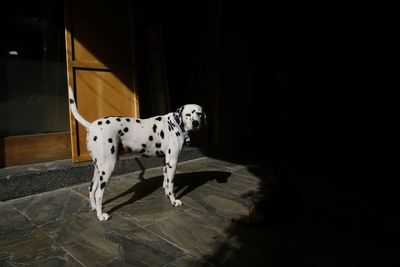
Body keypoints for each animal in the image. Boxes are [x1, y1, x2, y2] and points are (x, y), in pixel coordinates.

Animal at [68, 86, 206, 222]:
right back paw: (101, 215)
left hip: (98, 169)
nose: (196, 123)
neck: (174, 124)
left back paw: (94, 208)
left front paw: (167, 195)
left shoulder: (166, 162)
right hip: (107, 168)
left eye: (199, 113)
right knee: (98, 194)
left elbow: (166, 182)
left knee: (91, 188)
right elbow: (170, 184)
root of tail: (92, 126)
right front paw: (173, 201)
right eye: (188, 114)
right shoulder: (172, 162)